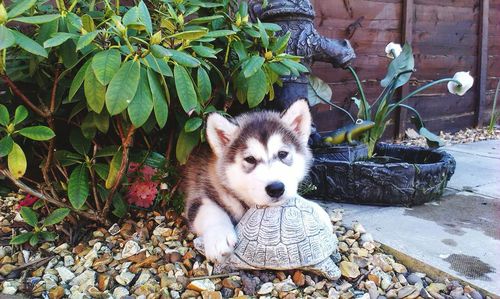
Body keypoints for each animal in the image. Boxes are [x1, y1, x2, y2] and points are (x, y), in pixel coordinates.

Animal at [182, 100, 330, 262]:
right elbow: (210, 211)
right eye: (250, 159)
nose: (276, 188)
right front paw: (219, 237)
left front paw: (316, 210)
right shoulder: (199, 189)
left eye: (282, 154)